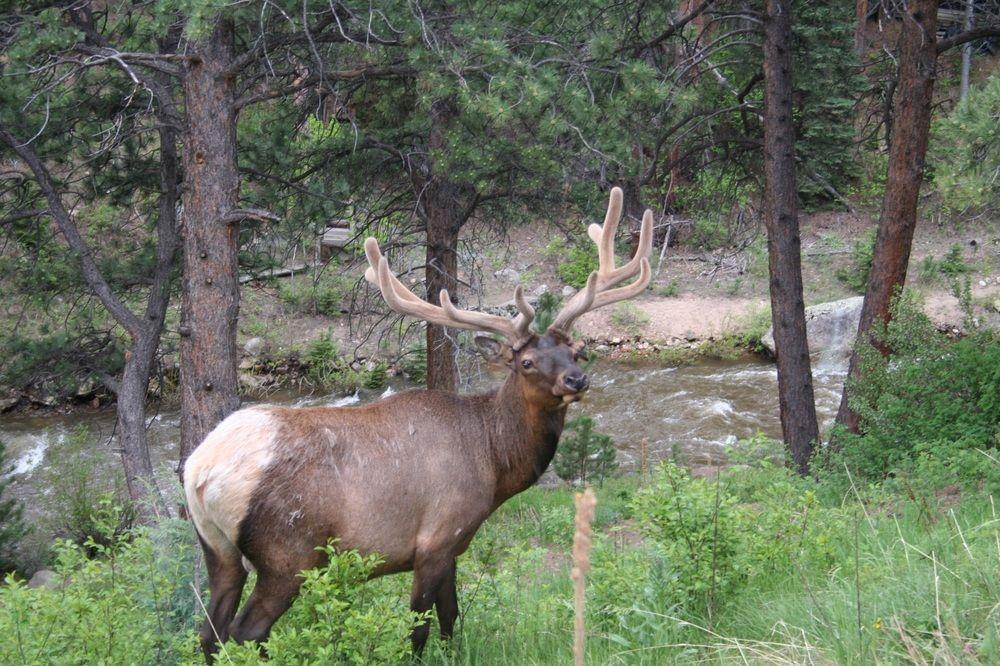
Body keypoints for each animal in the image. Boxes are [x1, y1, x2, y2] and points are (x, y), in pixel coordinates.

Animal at [186, 187, 656, 660]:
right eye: (525, 362)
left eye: (576, 351)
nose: (576, 379)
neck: (494, 462)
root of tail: (199, 471)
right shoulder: (437, 536)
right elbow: (419, 628)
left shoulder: (453, 546)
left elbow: (450, 618)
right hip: (288, 554)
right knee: (245, 633)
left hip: (217, 549)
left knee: (208, 633)